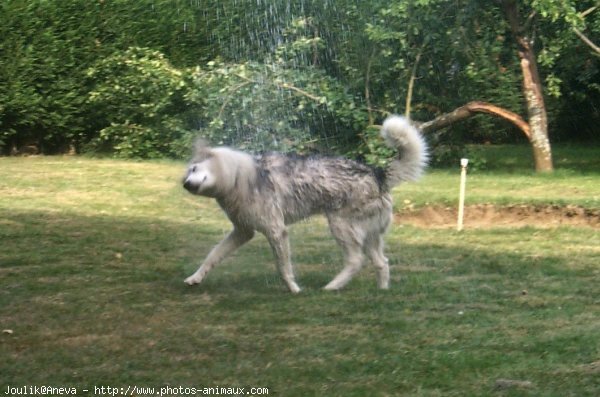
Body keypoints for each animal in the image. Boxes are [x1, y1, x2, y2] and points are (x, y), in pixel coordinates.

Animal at [182, 114, 426, 290]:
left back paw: (332, 287)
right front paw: (195, 278)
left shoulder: (276, 231)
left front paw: (294, 289)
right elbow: (213, 255)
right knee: (381, 263)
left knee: (356, 261)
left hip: (341, 226)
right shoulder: (242, 232)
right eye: (186, 174)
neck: (237, 177)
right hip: (367, 236)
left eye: (194, 169)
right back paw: (381, 291)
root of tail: (378, 173)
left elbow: (283, 269)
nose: (185, 185)